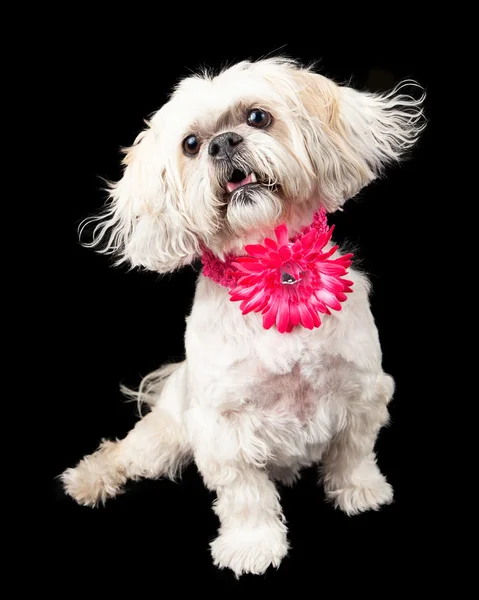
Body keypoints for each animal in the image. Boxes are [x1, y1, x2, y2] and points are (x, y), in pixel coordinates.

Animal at [62, 57, 426, 576]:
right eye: (191, 145)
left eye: (257, 117)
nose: (223, 143)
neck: (274, 270)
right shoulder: (223, 427)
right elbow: (245, 495)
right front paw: (253, 545)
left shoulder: (362, 390)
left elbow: (354, 451)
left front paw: (360, 490)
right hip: (163, 439)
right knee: (124, 452)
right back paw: (89, 478)